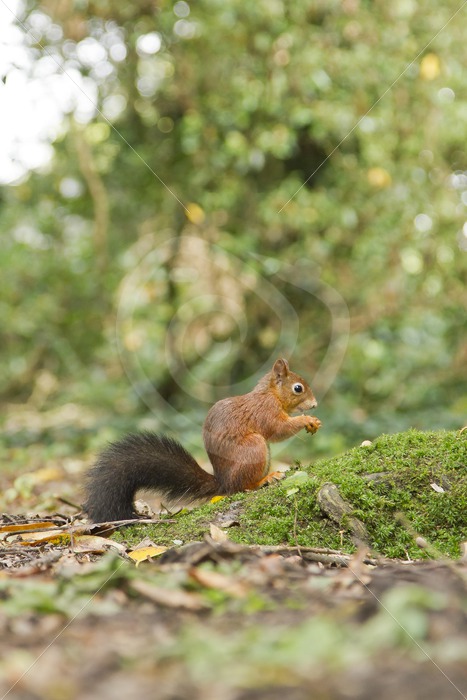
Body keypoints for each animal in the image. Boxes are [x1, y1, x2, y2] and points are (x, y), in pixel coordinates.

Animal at [83, 358, 321, 522]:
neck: (270, 394)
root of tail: (222, 482)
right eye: (297, 388)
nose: (315, 404)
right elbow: (279, 430)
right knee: (240, 487)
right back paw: (263, 480)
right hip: (254, 447)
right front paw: (307, 420)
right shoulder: (266, 412)